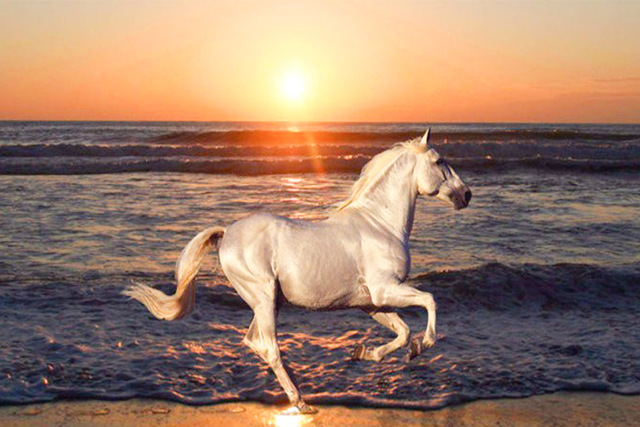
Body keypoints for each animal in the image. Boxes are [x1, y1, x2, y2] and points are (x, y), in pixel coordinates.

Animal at [124, 128, 471, 414]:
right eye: (440, 161)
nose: (466, 195)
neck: (379, 224)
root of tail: (227, 232)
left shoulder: (371, 303)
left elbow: (402, 332)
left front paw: (364, 353)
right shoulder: (385, 289)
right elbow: (429, 302)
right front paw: (422, 347)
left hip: (268, 302)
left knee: (255, 342)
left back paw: (298, 391)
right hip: (263, 297)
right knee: (268, 346)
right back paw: (300, 400)